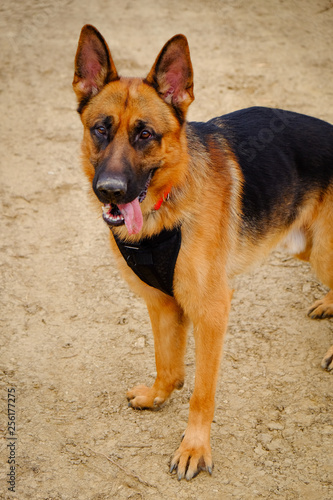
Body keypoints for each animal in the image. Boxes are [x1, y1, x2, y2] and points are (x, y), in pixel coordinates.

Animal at [72, 25, 332, 478]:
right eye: (100, 129)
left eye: (145, 134)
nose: (110, 191)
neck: (165, 208)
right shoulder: (162, 303)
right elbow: (168, 364)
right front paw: (158, 396)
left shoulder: (212, 312)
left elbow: (201, 391)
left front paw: (194, 447)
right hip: (309, 248)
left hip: (324, 252)